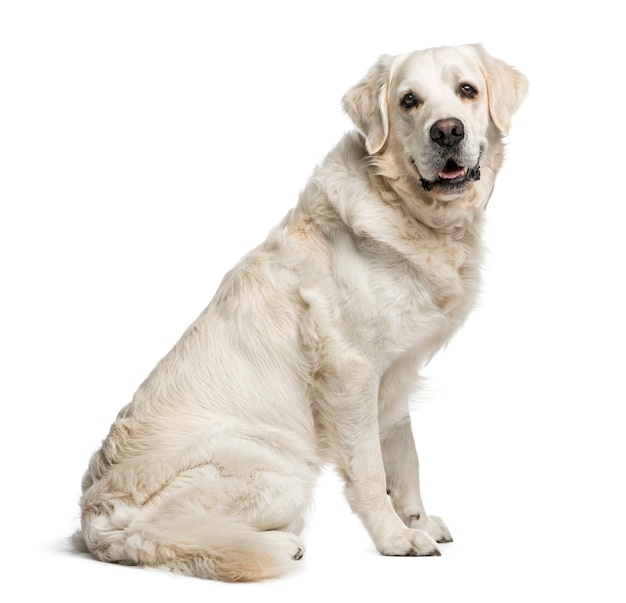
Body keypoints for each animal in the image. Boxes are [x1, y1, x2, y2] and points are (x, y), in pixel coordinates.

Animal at [77, 44, 528, 584]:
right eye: (409, 100)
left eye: (467, 90)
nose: (447, 132)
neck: (407, 209)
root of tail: (93, 520)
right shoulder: (351, 370)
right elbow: (370, 470)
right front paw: (396, 539)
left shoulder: (394, 374)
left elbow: (406, 459)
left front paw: (418, 521)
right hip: (278, 476)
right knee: (158, 537)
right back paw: (275, 545)